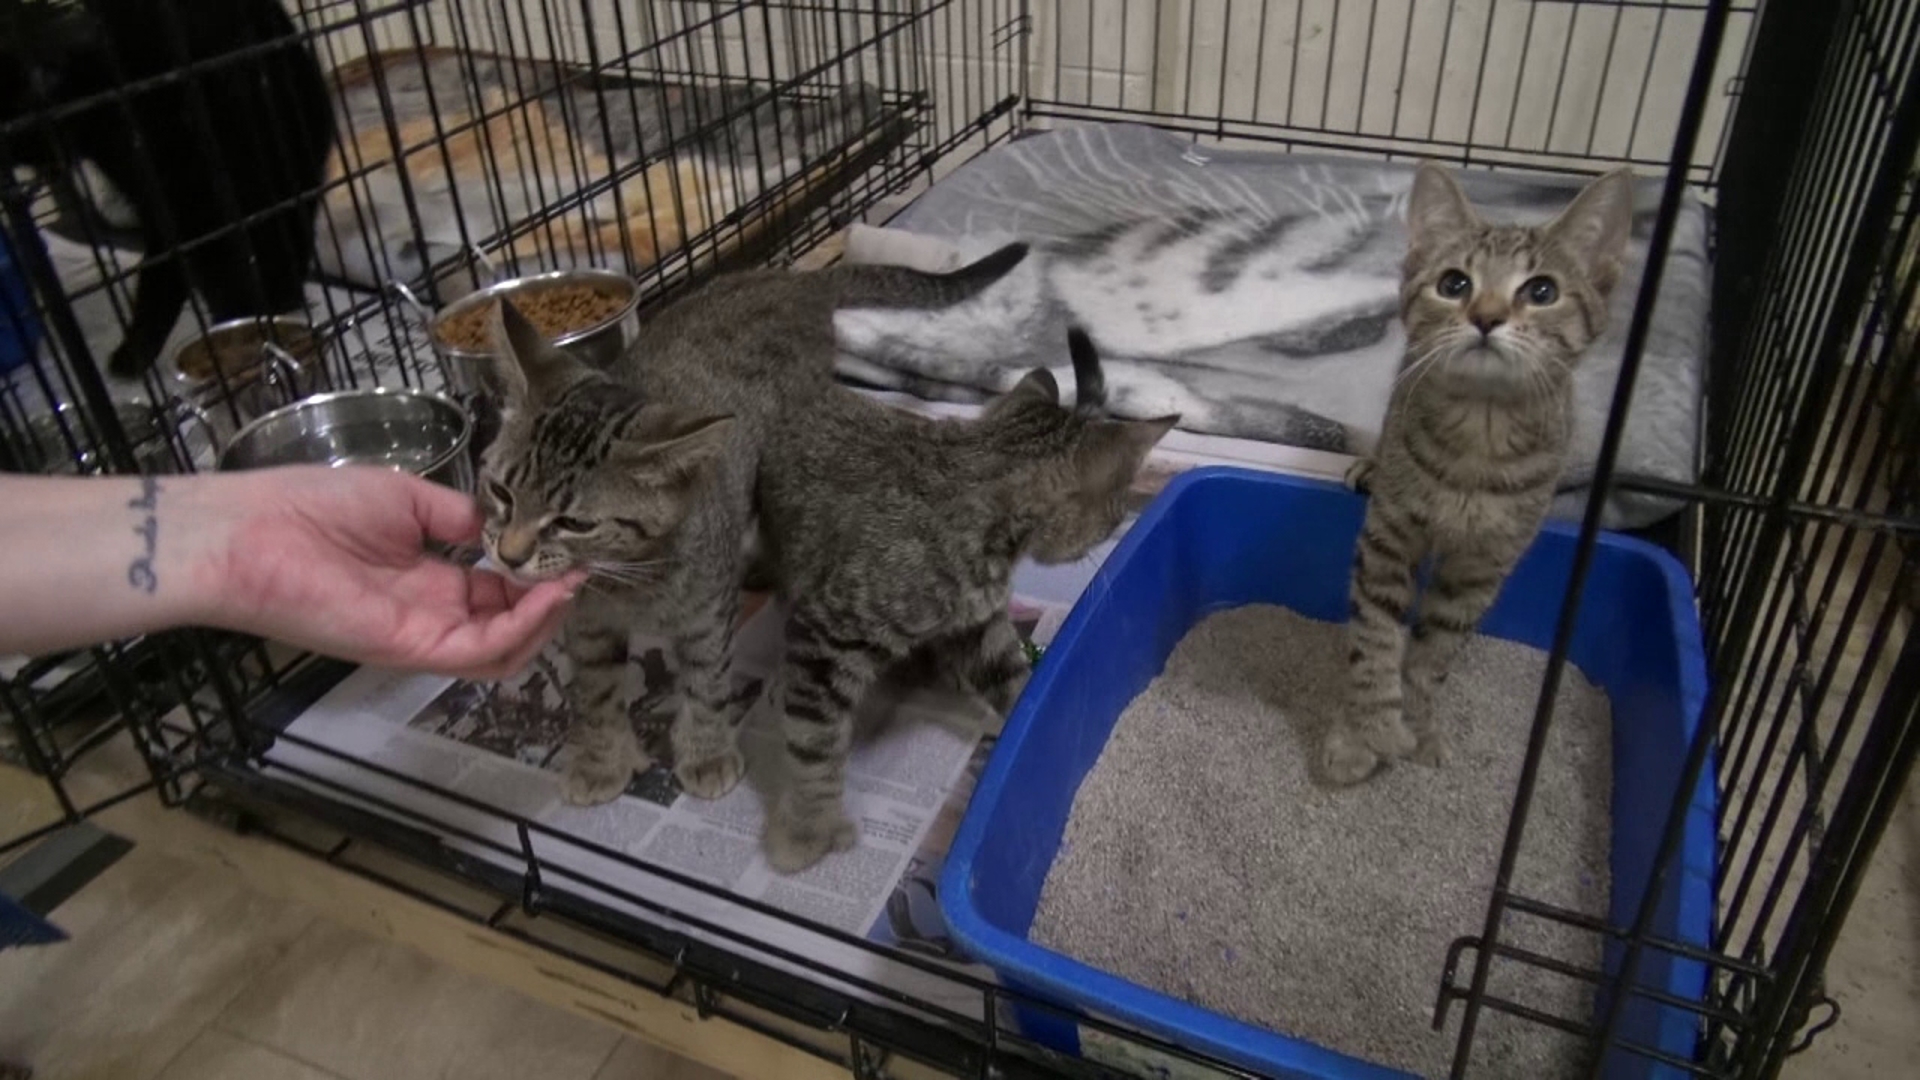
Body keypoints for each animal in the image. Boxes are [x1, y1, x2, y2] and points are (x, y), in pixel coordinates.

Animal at [470, 245, 1029, 807]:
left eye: (573, 522)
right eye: (500, 492)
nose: (510, 555)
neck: (628, 581)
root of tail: (792, 281)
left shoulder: (705, 612)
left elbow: (705, 683)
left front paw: (706, 753)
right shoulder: (588, 623)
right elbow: (597, 691)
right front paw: (601, 760)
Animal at [721, 326, 1167, 864]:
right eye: (1116, 509)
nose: (1118, 527)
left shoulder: (978, 628)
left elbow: (1014, 682)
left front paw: (1034, 732)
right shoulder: (826, 636)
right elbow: (815, 743)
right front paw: (809, 828)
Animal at [1320, 159, 1635, 780]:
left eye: (1542, 291)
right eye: (1454, 284)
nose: (1487, 317)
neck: (1480, 435)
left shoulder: (1483, 565)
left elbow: (1434, 651)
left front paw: (1419, 724)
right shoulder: (1388, 538)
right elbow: (1376, 638)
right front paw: (1370, 731)